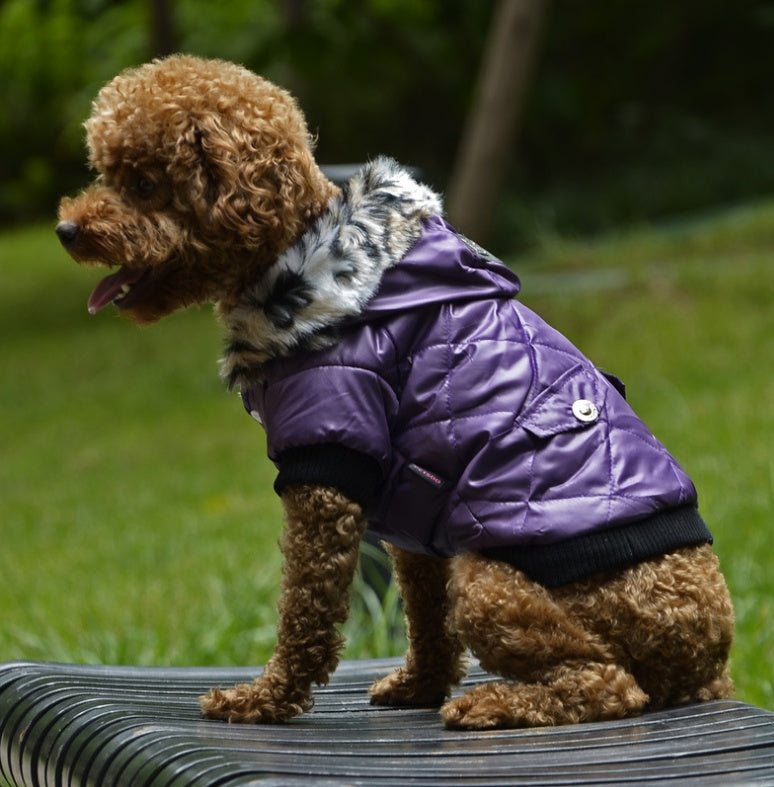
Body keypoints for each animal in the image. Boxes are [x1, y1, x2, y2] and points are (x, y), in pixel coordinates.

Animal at [57, 55, 736, 732]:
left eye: (145, 183)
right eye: (106, 174)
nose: (65, 229)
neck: (309, 267)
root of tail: (708, 659)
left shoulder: (328, 468)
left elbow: (306, 609)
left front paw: (265, 699)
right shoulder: (415, 519)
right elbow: (425, 617)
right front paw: (420, 684)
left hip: (492, 584)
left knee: (608, 684)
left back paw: (495, 704)